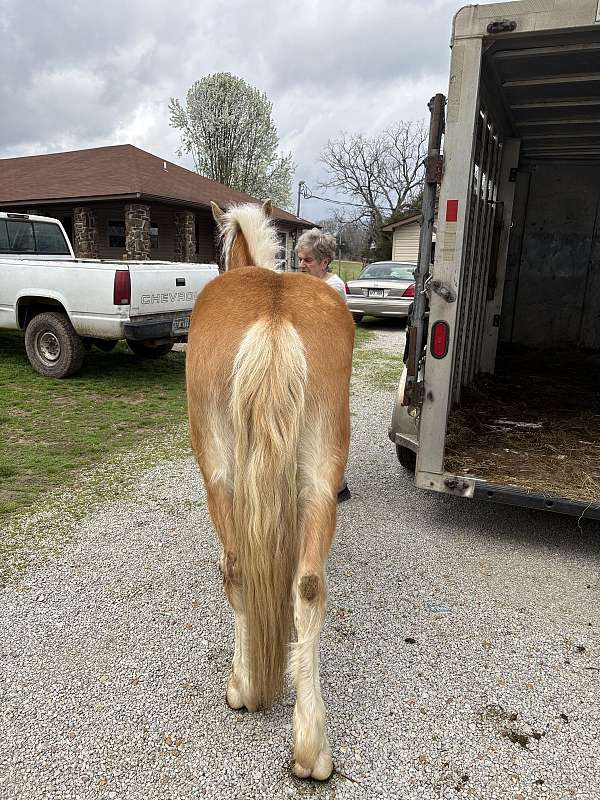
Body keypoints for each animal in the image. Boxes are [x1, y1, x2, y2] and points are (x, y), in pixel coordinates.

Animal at [185, 200, 354, 780]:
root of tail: (274, 316)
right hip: (320, 477)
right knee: (307, 587)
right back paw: (312, 747)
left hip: (220, 473)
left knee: (237, 570)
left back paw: (244, 686)